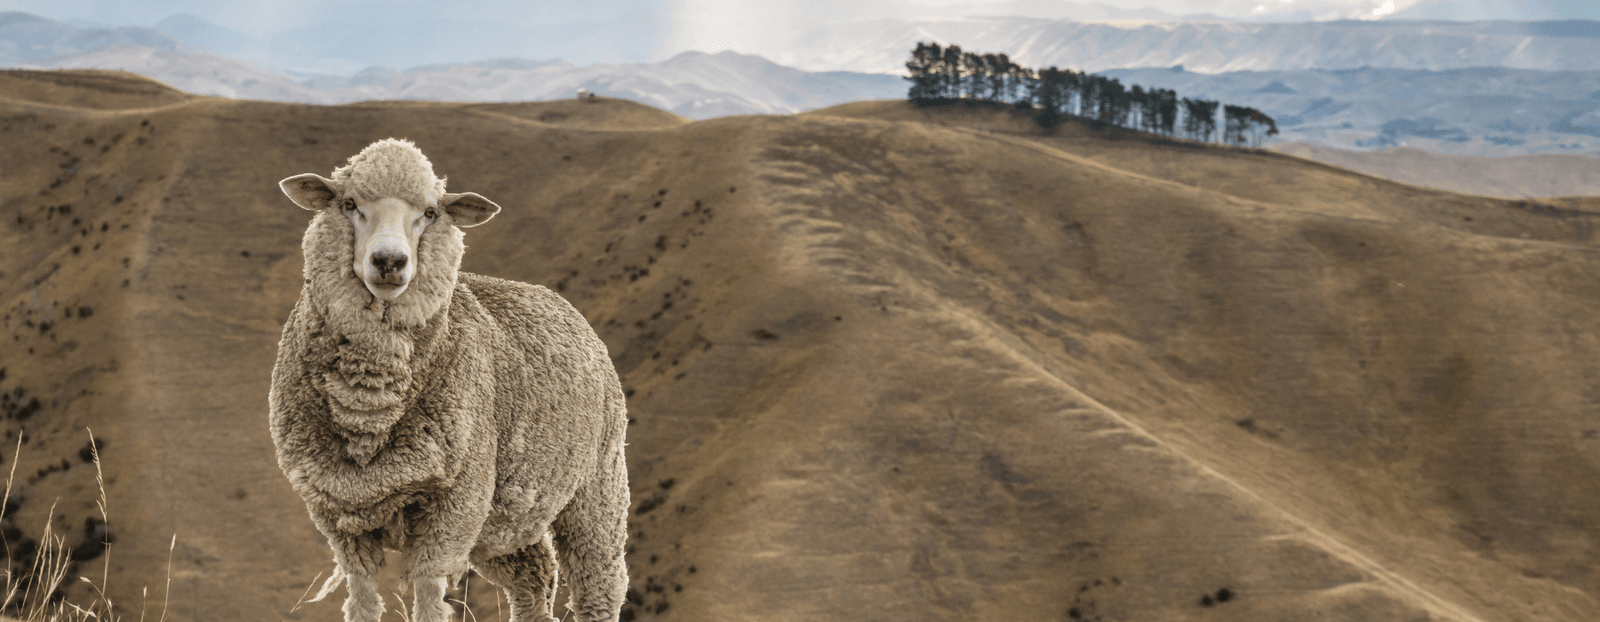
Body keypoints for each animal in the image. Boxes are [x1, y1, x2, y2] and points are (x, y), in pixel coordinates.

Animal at [268, 138, 630, 622]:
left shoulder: (454, 509)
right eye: (348, 204)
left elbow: (427, 596)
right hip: (507, 517)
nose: (389, 261)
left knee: (598, 583)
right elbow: (361, 598)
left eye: (430, 212)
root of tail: (556, 299)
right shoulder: (340, 512)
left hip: (597, 485)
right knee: (533, 578)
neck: (368, 408)